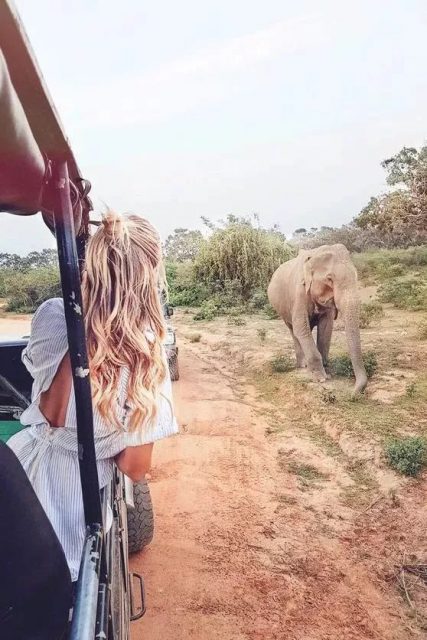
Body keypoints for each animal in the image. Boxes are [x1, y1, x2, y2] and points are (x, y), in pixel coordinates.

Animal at [270, 245, 370, 396]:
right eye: (329, 279)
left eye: (356, 276)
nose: (354, 392)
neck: (315, 254)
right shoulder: (299, 293)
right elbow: (301, 326)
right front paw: (321, 379)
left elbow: (326, 327)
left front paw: (326, 372)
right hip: (282, 309)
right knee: (294, 331)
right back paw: (302, 366)